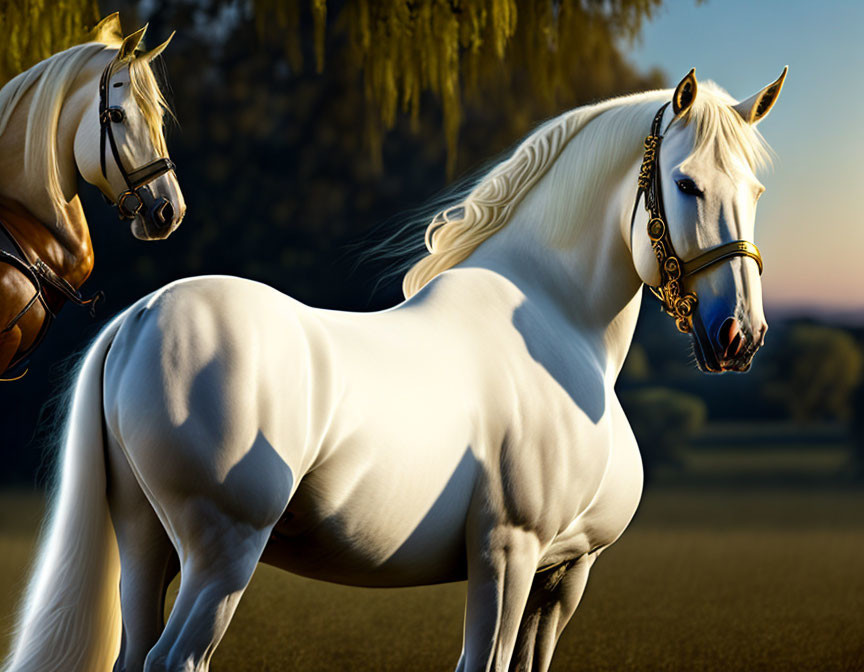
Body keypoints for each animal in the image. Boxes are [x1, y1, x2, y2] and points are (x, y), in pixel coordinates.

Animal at [1, 68, 784, 672]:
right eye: (685, 183)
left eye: (755, 191)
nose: (739, 336)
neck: (554, 321)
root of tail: (137, 321)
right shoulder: (509, 554)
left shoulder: (564, 571)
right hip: (221, 553)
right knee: (176, 658)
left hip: (145, 543)